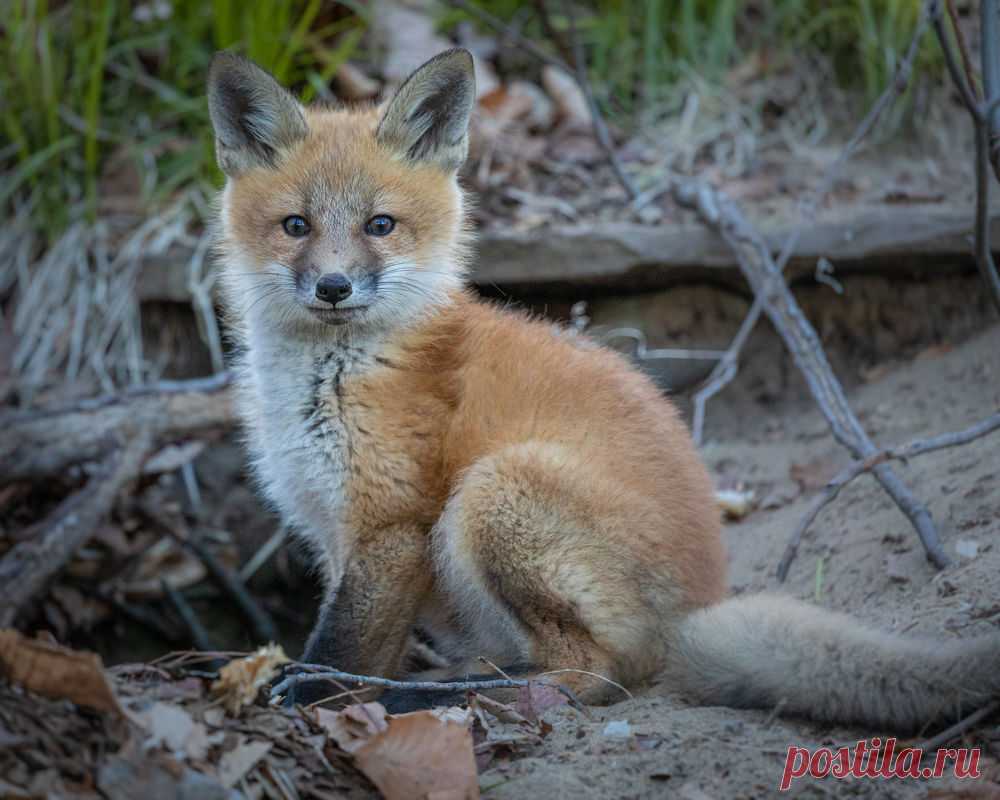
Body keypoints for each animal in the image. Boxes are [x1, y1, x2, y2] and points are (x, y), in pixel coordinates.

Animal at [207, 47, 996, 728]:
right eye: (296, 226)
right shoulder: (334, 531)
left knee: (589, 674)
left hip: (495, 491)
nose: (334, 287)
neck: (327, 379)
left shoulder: (390, 526)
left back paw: (443, 698)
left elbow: (341, 648)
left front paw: (308, 697)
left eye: (380, 225)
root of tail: (693, 614)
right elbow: (348, 640)